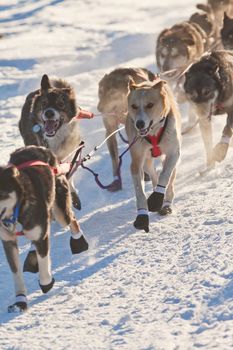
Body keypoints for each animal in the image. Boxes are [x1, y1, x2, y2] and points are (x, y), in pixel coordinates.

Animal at [0, 145, 88, 312]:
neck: (16, 211)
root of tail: (39, 147)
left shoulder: (41, 235)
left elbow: (44, 261)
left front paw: (46, 282)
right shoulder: (8, 242)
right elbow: (16, 273)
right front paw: (20, 301)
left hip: (60, 210)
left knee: (71, 219)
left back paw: (79, 242)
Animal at [19, 74, 82, 209]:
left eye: (60, 104)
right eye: (44, 103)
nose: (48, 113)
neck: (55, 138)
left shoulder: (70, 152)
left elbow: (69, 172)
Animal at [126, 78, 181, 234]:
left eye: (150, 105)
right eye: (134, 106)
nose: (139, 124)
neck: (153, 131)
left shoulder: (173, 153)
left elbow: (165, 176)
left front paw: (157, 198)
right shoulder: (136, 162)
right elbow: (140, 192)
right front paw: (142, 215)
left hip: (173, 160)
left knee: (169, 181)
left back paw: (166, 203)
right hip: (147, 162)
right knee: (153, 174)